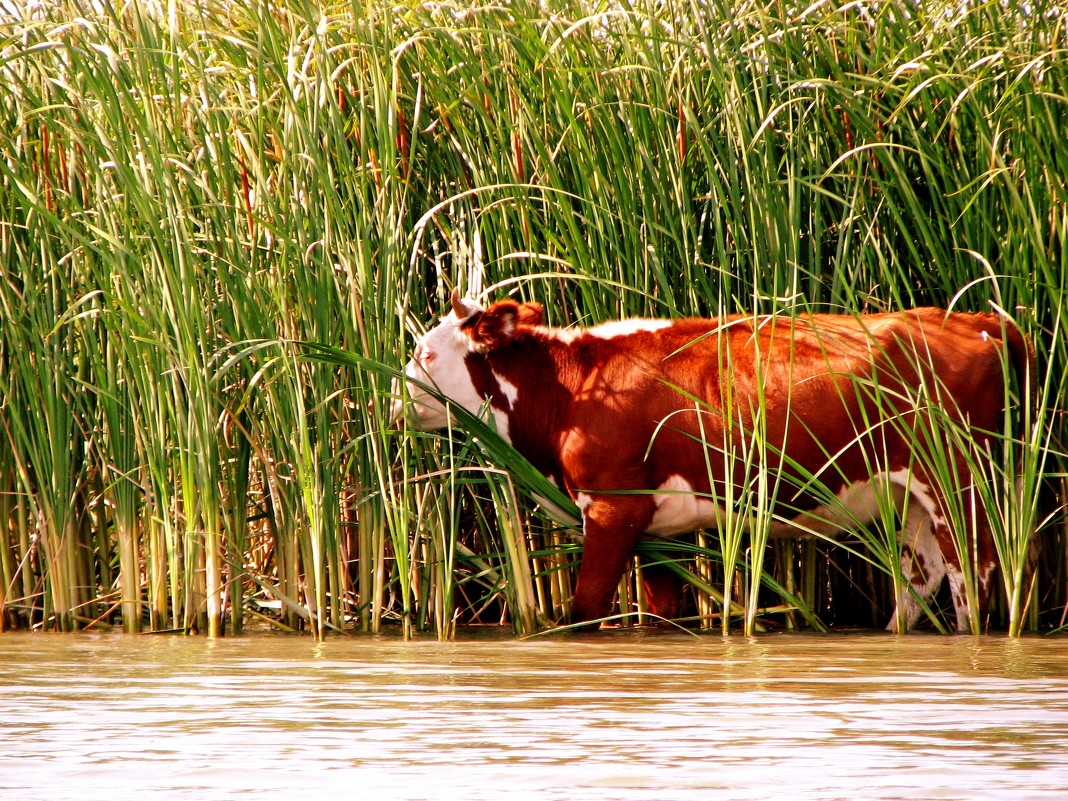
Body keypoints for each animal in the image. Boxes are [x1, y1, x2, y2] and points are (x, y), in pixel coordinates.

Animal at [395, 290, 1033, 632]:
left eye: (426, 352)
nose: (388, 402)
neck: (572, 392)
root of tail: (976, 320)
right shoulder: (657, 529)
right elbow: (661, 609)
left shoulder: (611, 507)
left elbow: (585, 606)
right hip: (916, 496)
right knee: (919, 576)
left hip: (960, 482)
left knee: (972, 575)